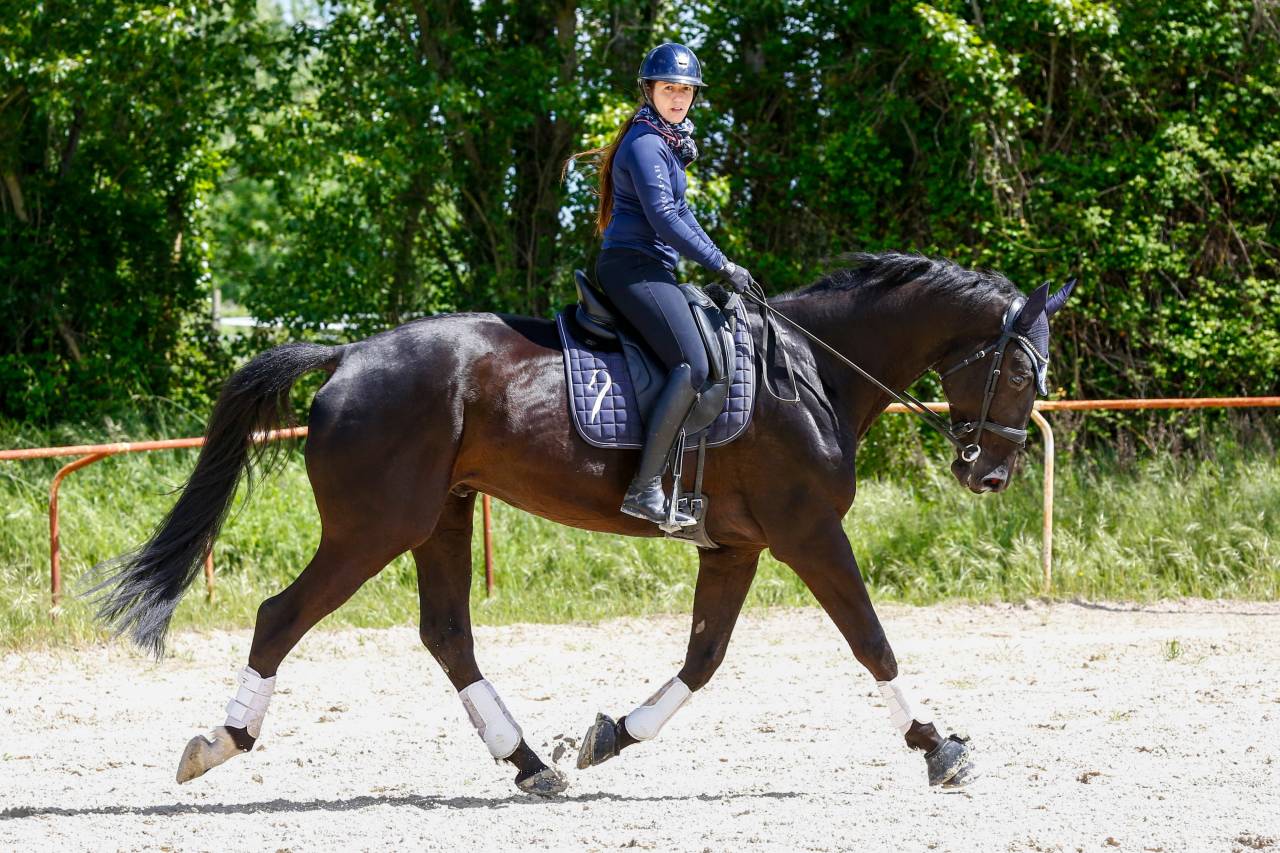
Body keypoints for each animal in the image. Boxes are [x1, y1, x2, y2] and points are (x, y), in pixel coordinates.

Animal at [94, 252, 1074, 796]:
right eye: (1020, 370)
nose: (988, 472)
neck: (810, 371)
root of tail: (347, 354)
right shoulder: (806, 533)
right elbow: (873, 641)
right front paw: (939, 749)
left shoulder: (738, 545)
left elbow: (703, 658)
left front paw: (608, 737)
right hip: (374, 527)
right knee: (282, 616)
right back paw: (218, 743)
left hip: (440, 518)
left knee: (447, 634)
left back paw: (533, 763)